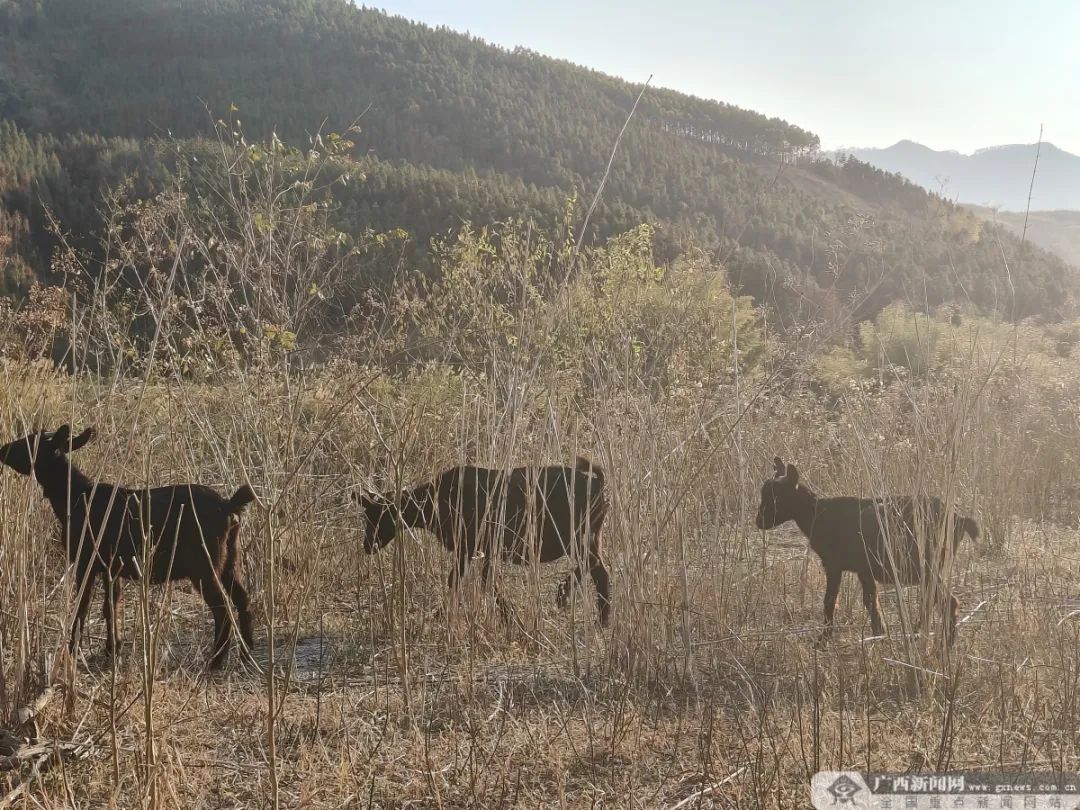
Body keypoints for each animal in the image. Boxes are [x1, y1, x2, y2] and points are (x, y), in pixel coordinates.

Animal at [0, 427, 254, 669]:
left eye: (31, 441)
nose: (3, 449)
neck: (74, 498)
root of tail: (230, 506)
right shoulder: (112, 568)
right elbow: (111, 606)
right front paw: (113, 650)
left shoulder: (86, 561)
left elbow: (82, 607)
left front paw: (73, 651)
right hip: (230, 559)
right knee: (243, 599)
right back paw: (247, 656)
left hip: (203, 564)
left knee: (222, 609)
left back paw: (215, 662)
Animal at [358, 460, 613, 626]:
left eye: (378, 516)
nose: (367, 546)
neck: (433, 503)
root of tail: (599, 484)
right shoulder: (480, 550)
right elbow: (479, 580)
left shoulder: (470, 546)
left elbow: (467, 580)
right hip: (591, 536)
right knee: (597, 568)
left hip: (577, 537)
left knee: (597, 569)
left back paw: (580, 606)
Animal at [751, 457, 980, 648]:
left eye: (778, 497)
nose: (759, 521)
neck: (818, 514)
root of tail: (959, 520)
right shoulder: (864, 569)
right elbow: (871, 602)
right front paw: (879, 634)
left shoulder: (833, 565)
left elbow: (829, 601)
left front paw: (822, 641)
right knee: (933, 599)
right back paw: (919, 634)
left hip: (926, 564)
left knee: (948, 601)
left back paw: (945, 645)